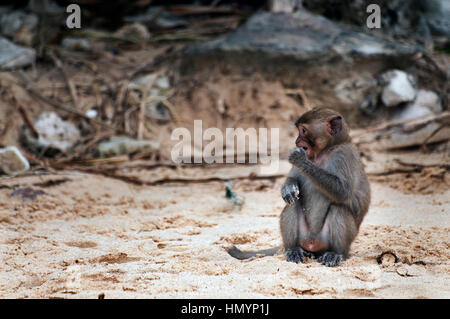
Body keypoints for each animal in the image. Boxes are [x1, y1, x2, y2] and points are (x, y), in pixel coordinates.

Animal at [227, 107, 370, 268]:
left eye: (303, 130)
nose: (296, 141)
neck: (325, 151)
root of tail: (313, 244)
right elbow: (293, 181)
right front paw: (289, 187)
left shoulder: (344, 155)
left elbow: (343, 191)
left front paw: (299, 159)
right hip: (304, 237)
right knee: (293, 205)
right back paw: (294, 250)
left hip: (328, 240)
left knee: (338, 209)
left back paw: (335, 254)